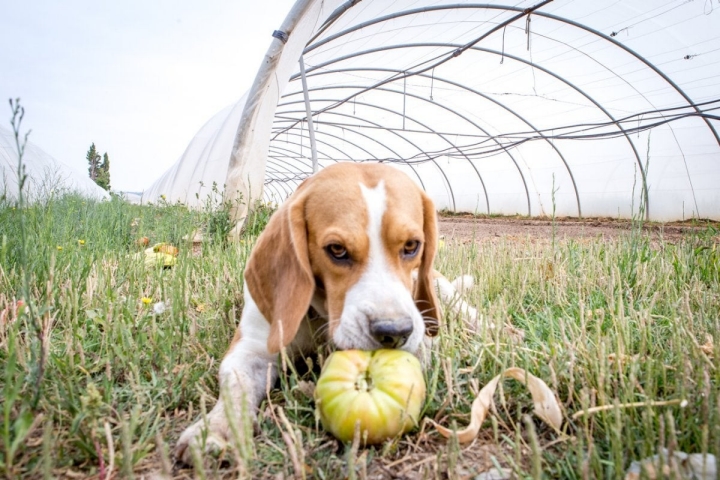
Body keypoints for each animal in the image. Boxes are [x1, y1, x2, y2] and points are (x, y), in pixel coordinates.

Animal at [174, 163, 478, 464]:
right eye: (337, 250)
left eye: (412, 246)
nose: (394, 332)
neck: (319, 315)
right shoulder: (251, 349)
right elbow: (235, 387)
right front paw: (215, 429)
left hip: (443, 291)